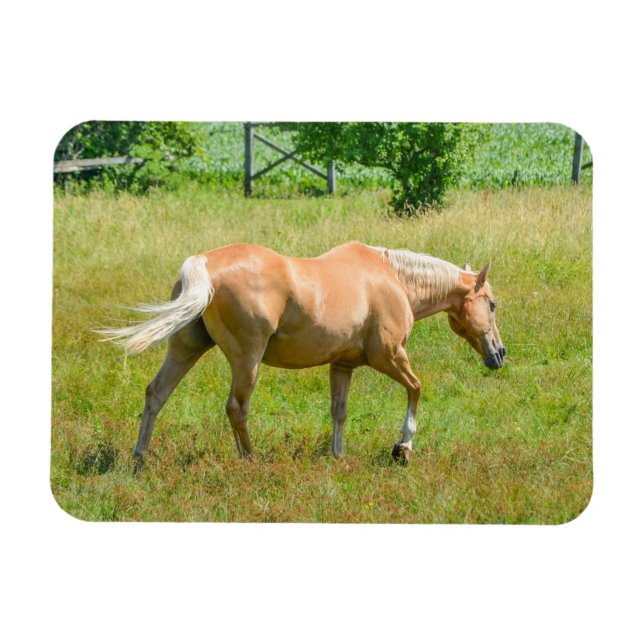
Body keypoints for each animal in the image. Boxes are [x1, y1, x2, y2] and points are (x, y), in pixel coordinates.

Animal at [99, 241, 505, 468]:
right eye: (493, 304)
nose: (500, 354)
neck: (393, 279)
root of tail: (204, 264)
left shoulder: (342, 365)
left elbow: (339, 411)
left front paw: (339, 457)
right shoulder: (389, 356)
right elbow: (416, 389)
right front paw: (402, 448)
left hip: (185, 349)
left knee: (156, 395)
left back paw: (138, 459)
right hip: (247, 361)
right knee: (236, 408)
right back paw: (251, 461)